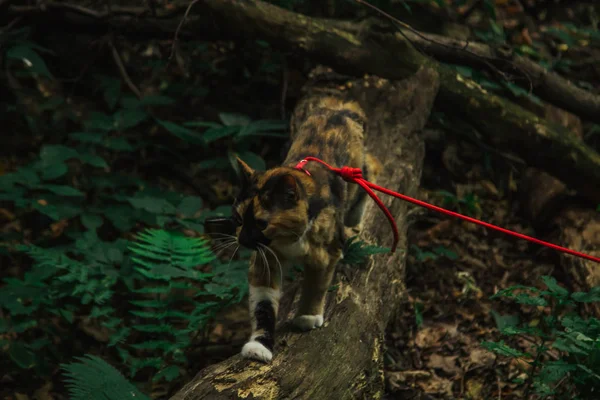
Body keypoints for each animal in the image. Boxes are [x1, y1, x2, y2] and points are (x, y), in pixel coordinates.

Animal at [230, 96, 380, 362]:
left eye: (261, 223)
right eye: (238, 218)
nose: (244, 241)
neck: (287, 241)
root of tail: (340, 108)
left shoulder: (328, 251)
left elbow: (317, 284)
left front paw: (308, 315)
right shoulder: (265, 259)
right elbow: (262, 306)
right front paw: (259, 345)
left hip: (356, 173)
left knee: (368, 170)